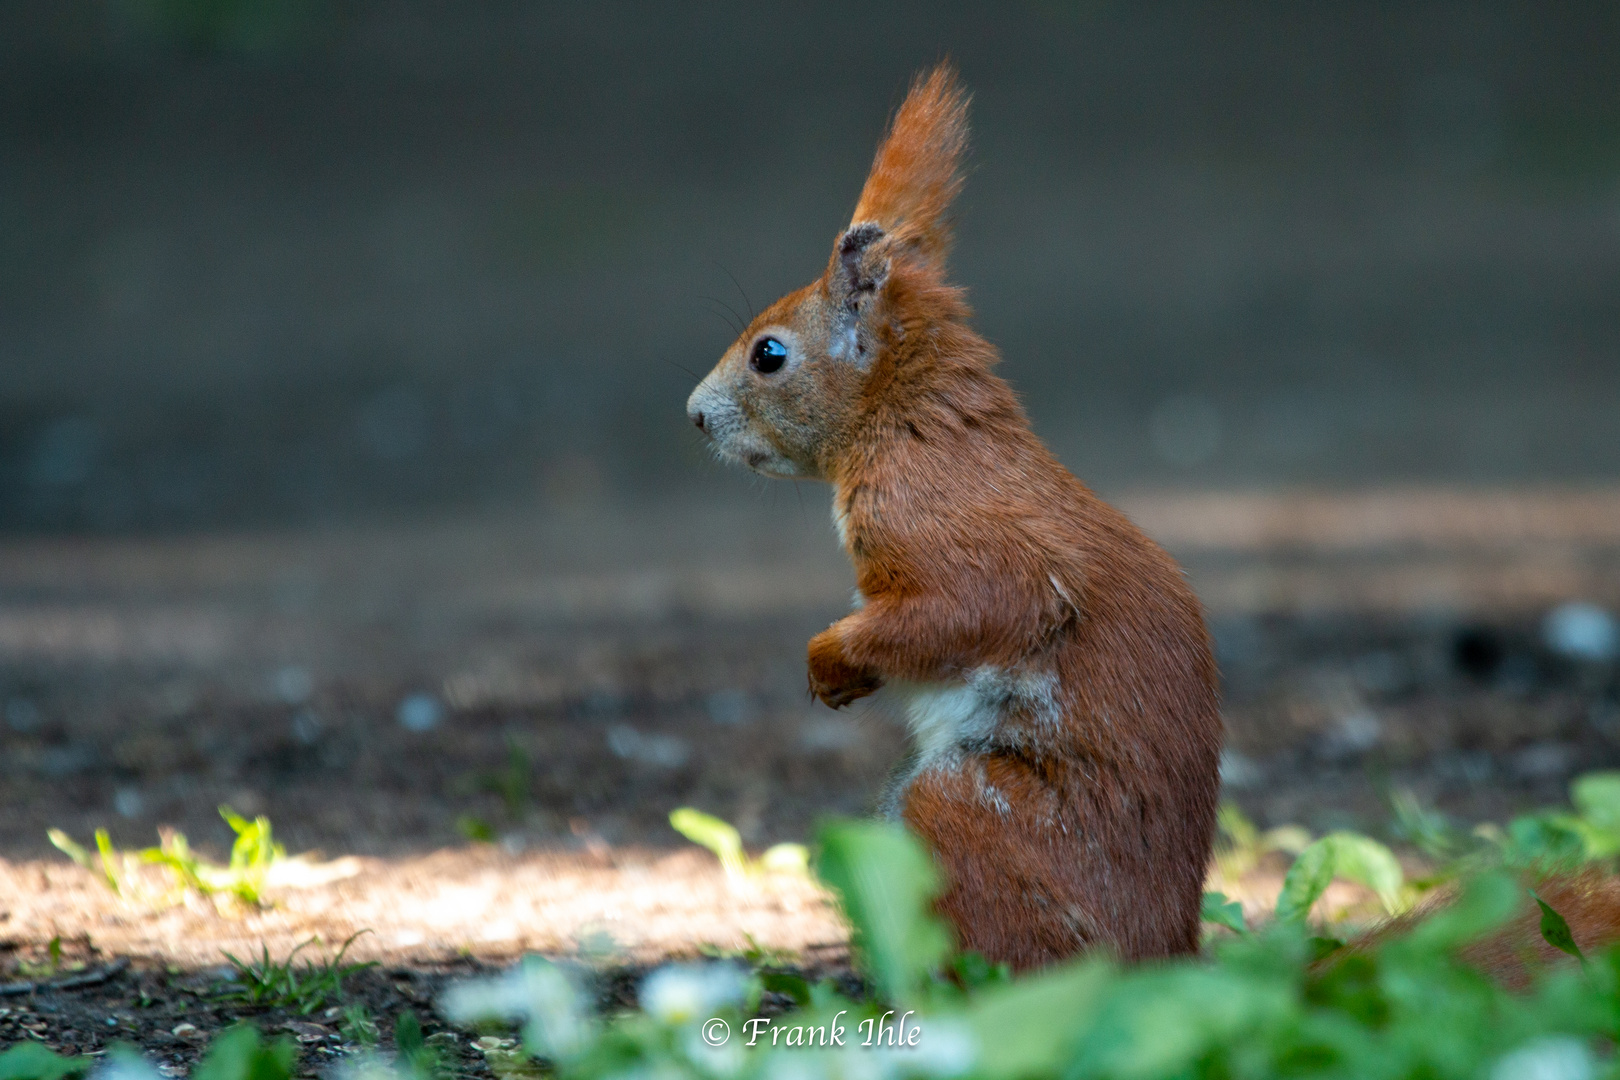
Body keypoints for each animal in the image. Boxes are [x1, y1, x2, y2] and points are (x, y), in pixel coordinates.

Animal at [680, 63, 1218, 965]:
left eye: (769, 354)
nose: (693, 416)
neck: (901, 424)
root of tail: (1163, 953)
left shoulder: (942, 531)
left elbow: (967, 608)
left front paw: (829, 660)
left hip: (965, 813)